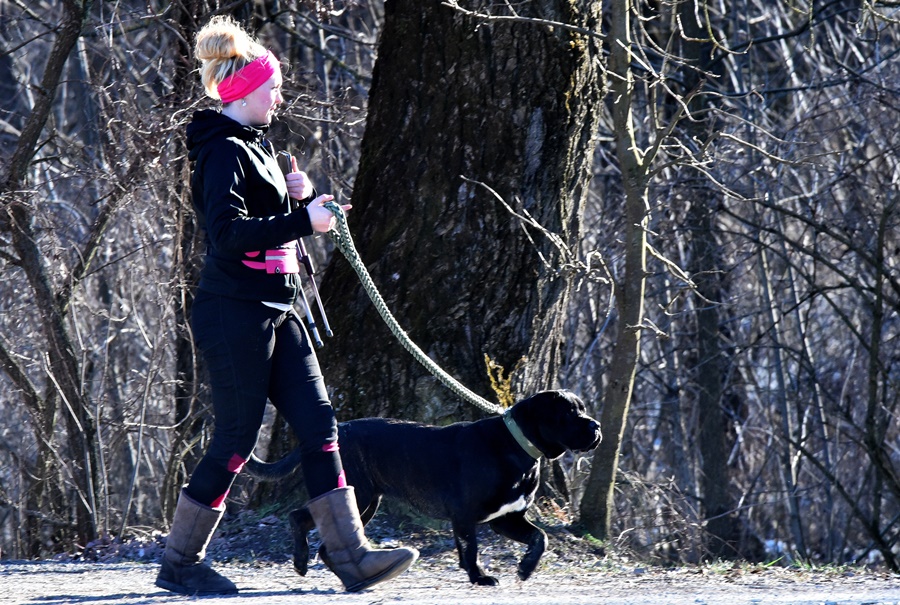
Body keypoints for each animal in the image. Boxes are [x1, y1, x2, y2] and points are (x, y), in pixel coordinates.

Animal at [246, 390, 600, 584]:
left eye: (583, 409)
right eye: (571, 412)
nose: (595, 425)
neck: (519, 446)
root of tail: (338, 429)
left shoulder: (505, 518)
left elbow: (539, 538)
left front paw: (525, 569)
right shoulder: (466, 515)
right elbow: (471, 549)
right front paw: (480, 578)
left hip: (366, 502)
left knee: (328, 539)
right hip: (359, 495)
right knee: (299, 517)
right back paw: (300, 561)